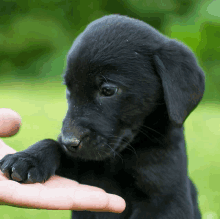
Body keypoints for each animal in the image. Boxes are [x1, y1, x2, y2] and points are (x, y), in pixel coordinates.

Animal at [0, 14, 205, 218]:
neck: (119, 158)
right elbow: (52, 144)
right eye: (69, 90)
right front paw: (27, 158)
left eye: (108, 90)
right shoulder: (83, 165)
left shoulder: (166, 200)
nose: (69, 141)